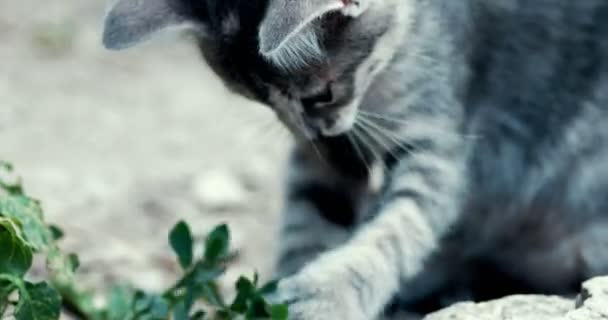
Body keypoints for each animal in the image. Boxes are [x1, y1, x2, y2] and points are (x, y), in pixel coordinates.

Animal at [102, 1, 608, 318]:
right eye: (259, 100)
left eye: (320, 95)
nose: (309, 131)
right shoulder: (329, 161)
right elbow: (307, 221)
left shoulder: (435, 144)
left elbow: (395, 231)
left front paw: (326, 296)